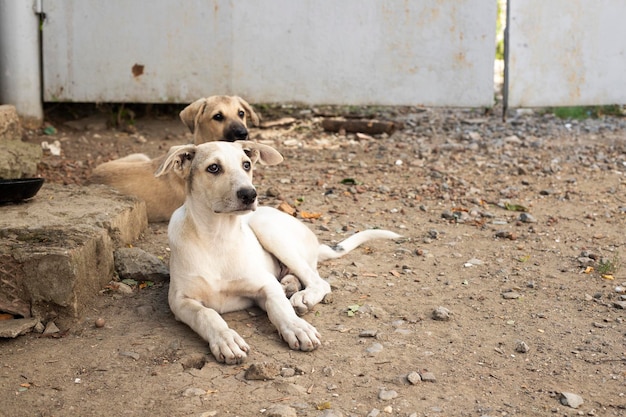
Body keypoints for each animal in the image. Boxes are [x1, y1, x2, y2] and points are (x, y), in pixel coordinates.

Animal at [156, 141, 400, 362]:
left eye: (246, 165)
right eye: (213, 168)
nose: (250, 194)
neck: (218, 236)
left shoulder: (265, 285)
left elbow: (279, 307)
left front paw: (297, 328)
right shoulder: (179, 301)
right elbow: (206, 314)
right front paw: (226, 339)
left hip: (267, 227)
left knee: (318, 281)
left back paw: (303, 296)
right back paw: (290, 285)